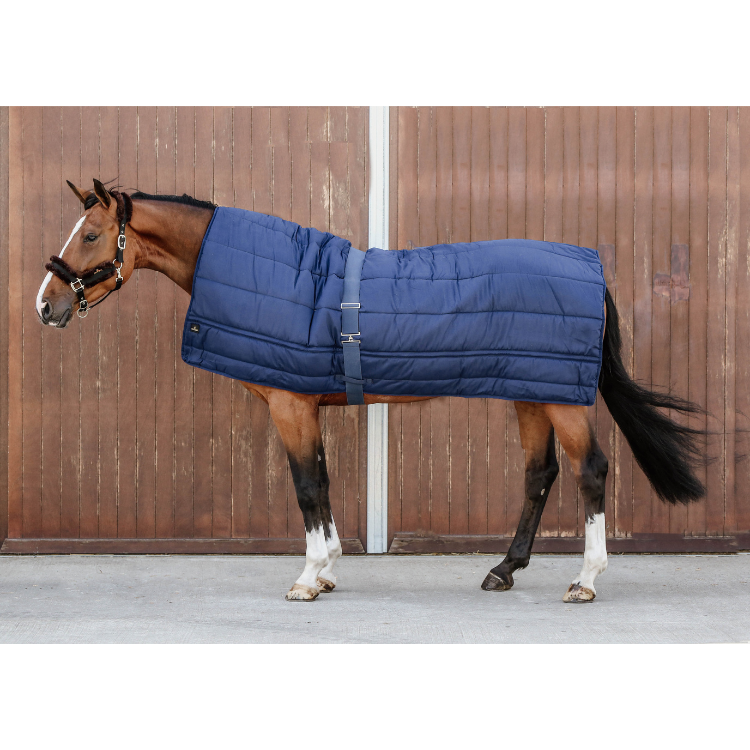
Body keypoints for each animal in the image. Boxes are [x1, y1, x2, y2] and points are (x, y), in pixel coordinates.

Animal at [36, 179, 706, 603]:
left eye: (90, 236)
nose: (47, 305)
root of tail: (588, 264)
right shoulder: (306, 404)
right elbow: (324, 482)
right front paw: (329, 568)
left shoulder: (290, 405)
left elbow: (307, 486)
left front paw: (307, 578)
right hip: (531, 391)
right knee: (539, 474)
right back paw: (503, 570)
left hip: (561, 399)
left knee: (591, 470)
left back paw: (586, 580)